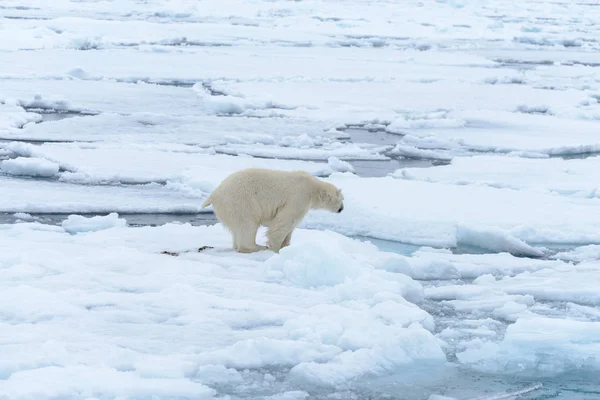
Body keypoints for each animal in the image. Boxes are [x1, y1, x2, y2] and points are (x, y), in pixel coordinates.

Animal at [202, 169, 344, 253]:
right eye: (341, 199)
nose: (342, 209)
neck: (313, 187)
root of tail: (215, 194)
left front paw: (286, 245)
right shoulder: (299, 197)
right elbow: (284, 222)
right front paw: (275, 247)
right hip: (241, 202)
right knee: (247, 224)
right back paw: (255, 247)